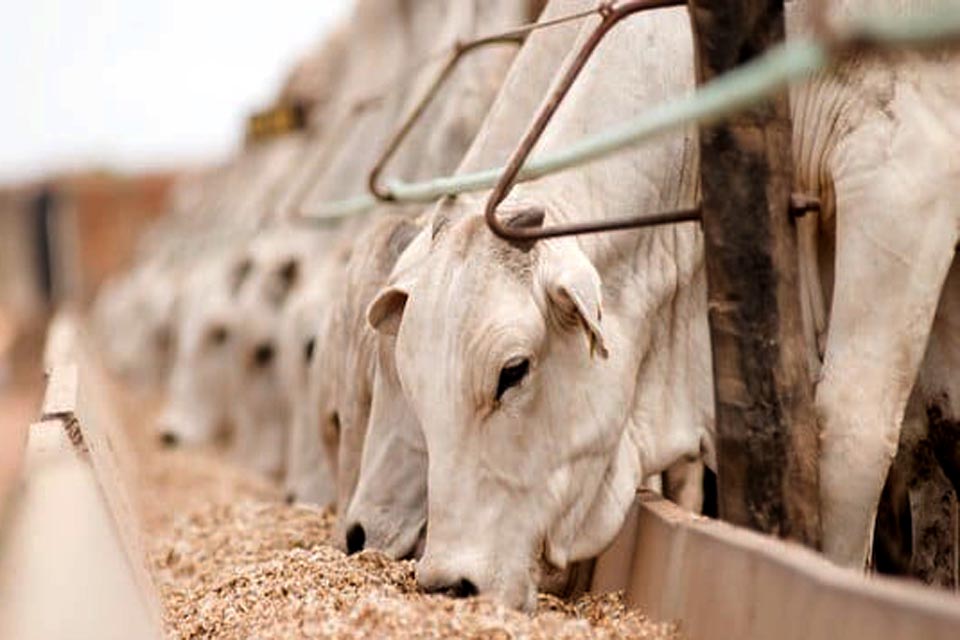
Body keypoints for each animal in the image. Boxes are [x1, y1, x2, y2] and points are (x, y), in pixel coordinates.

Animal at [368, 1, 960, 608]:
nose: (450, 584)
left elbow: (851, 431)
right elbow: (941, 429)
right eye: (411, 383)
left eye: (513, 371)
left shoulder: (905, 168)